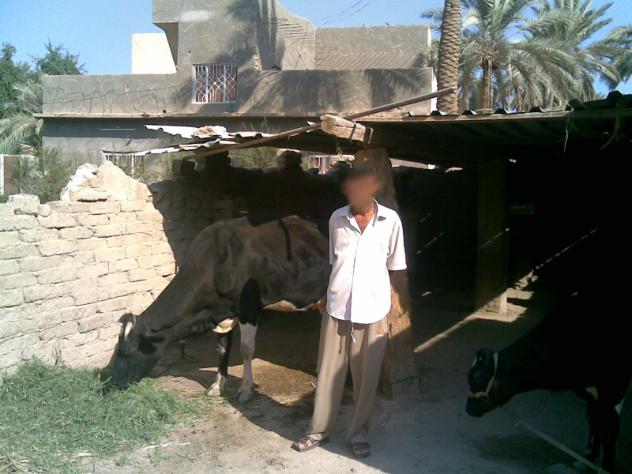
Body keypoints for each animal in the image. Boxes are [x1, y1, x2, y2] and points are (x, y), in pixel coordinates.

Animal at [103, 214, 330, 401]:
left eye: (126, 352)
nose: (111, 384)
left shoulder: (249, 309)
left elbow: (246, 349)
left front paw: (245, 390)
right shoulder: (224, 312)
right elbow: (222, 349)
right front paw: (217, 386)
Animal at [466, 292, 631, 472]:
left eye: (477, 380)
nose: (468, 409)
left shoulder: (614, 389)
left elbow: (608, 430)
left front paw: (607, 468)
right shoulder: (591, 394)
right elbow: (593, 419)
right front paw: (588, 458)